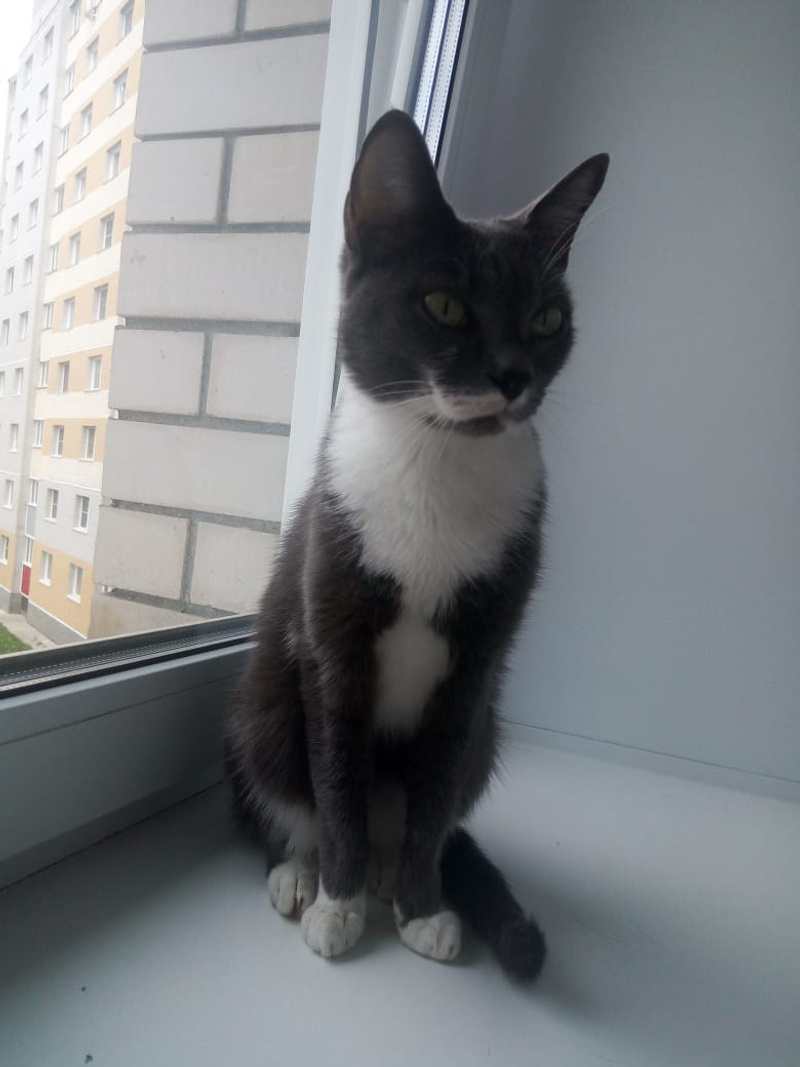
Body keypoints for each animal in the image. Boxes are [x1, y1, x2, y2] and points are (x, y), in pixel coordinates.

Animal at [225, 109, 608, 980]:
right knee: (285, 789)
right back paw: (301, 870)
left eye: (546, 319)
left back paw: (389, 872)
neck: (439, 458)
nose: (513, 374)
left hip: (490, 729)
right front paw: (337, 903)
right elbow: (336, 779)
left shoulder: (479, 659)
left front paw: (423, 905)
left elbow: (436, 792)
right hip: (263, 702)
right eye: (444, 304)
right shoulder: (330, 628)